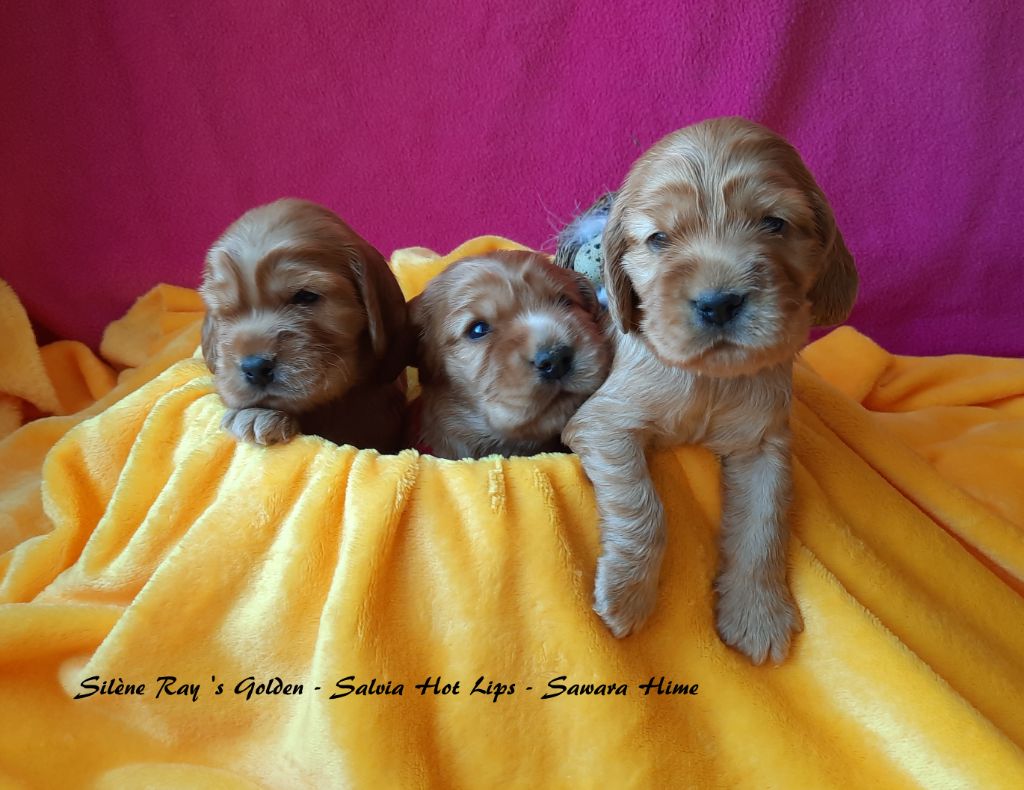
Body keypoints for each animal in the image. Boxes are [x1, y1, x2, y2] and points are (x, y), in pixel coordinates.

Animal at [565, 115, 860, 659]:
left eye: (774, 224)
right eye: (659, 239)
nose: (718, 303)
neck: (711, 380)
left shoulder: (764, 444)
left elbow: (763, 524)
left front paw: (758, 614)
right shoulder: (605, 422)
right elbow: (645, 506)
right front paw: (628, 595)